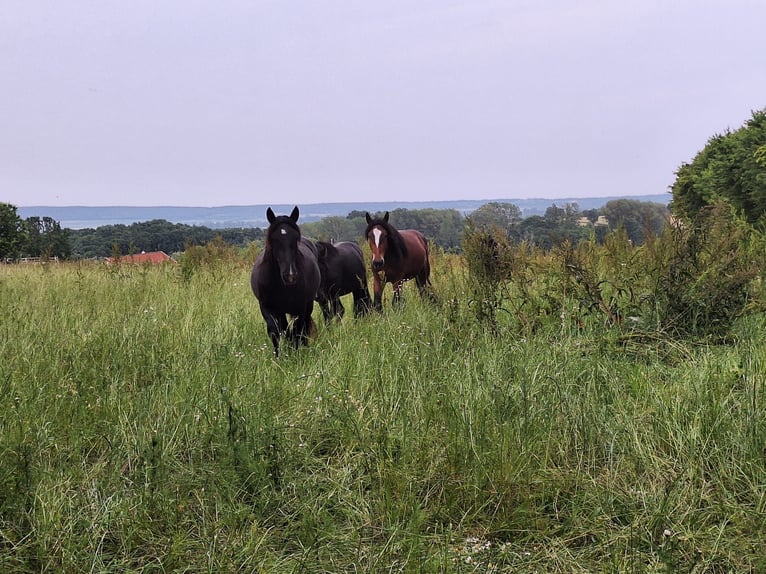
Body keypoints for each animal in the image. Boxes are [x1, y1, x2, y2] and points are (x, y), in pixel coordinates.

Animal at [250, 206, 321, 357]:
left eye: (295, 239)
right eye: (273, 240)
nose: (290, 276)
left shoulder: (300, 308)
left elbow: (297, 331)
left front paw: (296, 354)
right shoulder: (267, 308)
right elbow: (275, 331)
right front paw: (278, 357)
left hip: (307, 305)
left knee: (302, 327)